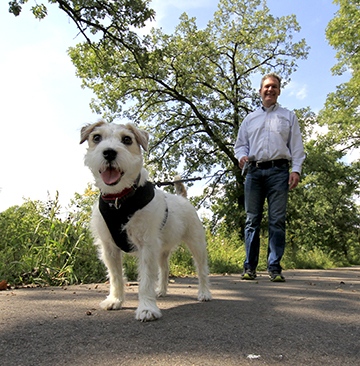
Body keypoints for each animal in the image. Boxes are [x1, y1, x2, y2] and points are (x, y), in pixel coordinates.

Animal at [80, 122, 211, 320]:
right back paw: (162, 291)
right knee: (165, 269)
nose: (109, 152)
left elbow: (146, 280)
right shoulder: (109, 249)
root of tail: (182, 198)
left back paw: (204, 293)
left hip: (196, 244)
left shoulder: (147, 246)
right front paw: (115, 300)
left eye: (127, 139)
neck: (120, 200)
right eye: (96, 137)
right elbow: (116, 277)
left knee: (201, 268)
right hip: (163, 249)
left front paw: (147, 308)